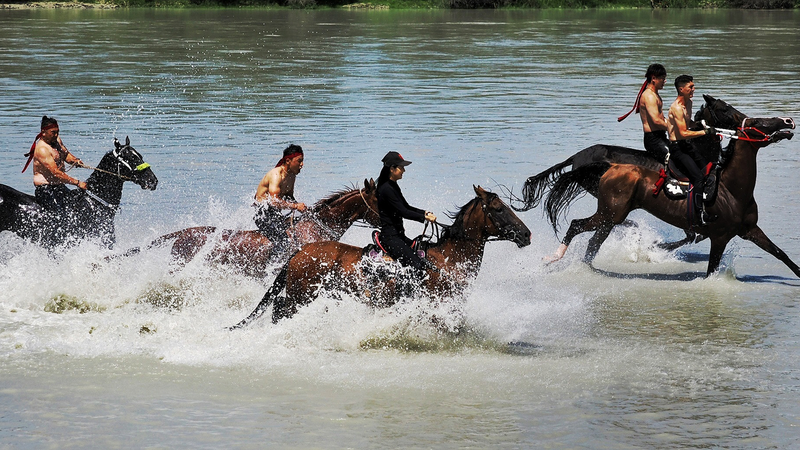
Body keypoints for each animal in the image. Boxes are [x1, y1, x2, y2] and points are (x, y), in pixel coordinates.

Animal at [231, 185, 532, 328]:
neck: (447, 260)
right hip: (300, 295)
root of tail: (299, 251)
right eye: (499, 208)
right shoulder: (437, 306)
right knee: (279, 308)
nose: (527, 234)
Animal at [526, 95, 797, 278]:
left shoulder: (747, 229)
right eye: (724, 108)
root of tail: (579, 157)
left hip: (609, 212)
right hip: (609, 211)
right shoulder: (718, 234)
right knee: (584, 227)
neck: (729, 188)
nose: (788, 121)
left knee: (595, 240)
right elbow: (695, 245)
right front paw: (655, 247)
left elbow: (780, 253)